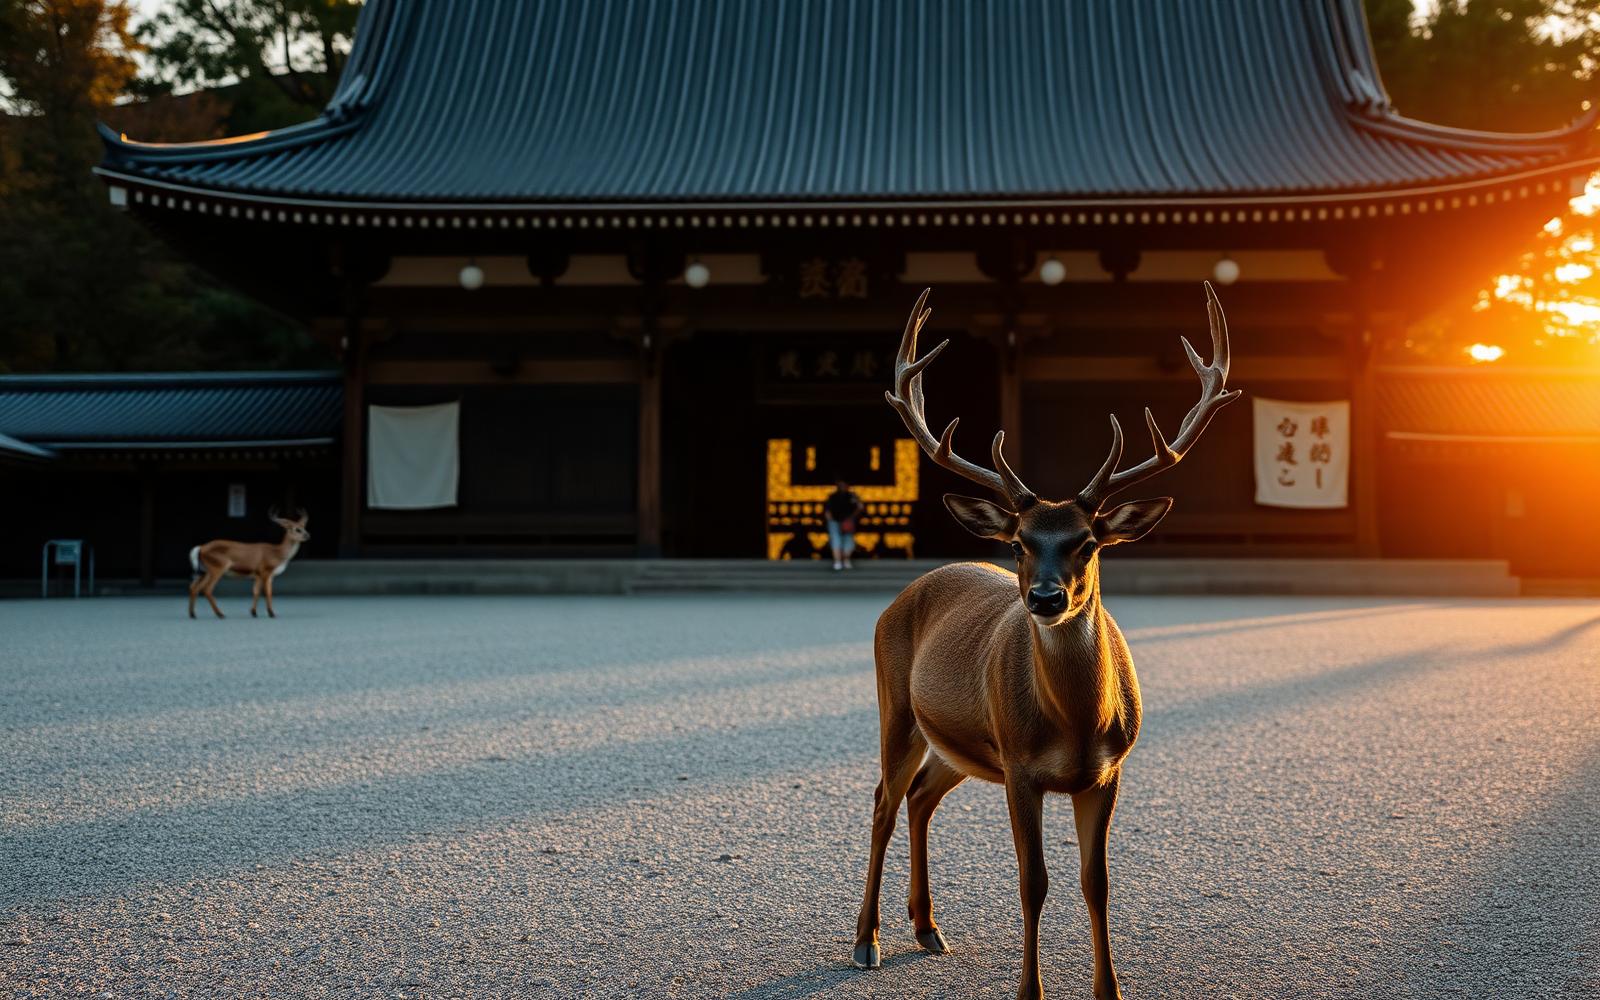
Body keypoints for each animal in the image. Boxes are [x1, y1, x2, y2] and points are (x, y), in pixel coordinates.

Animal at [851, 284, 1239, 1000]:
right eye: (1018, 543)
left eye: (1087, 542)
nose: (1045, 598)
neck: (1078, 725)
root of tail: (902, 595)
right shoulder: (1022, 770)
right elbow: (1033, 883)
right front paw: (1029, 990)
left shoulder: (1107, 771)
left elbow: (1097, 884)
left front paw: (1110, 989)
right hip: (898, 705)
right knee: (884, 802)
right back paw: (867, 940)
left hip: (963, 741)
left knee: (921, 798)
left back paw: (928, 928)